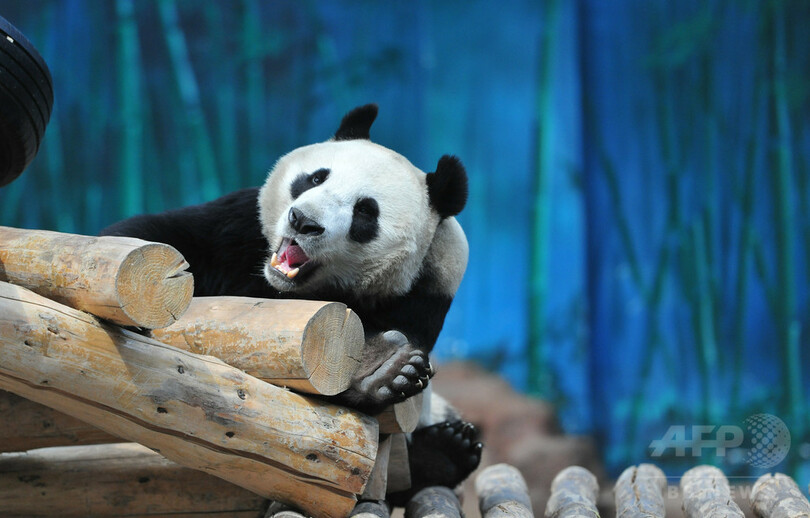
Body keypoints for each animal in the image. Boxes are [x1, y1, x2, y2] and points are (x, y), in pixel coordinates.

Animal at [100, 103, 480, 506]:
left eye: (365, 211)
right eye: (315, 178)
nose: (303, 220)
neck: (286, 288)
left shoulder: (426, 290)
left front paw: (379, 368)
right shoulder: (238, 226)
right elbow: (155, 235)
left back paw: (442, 446)